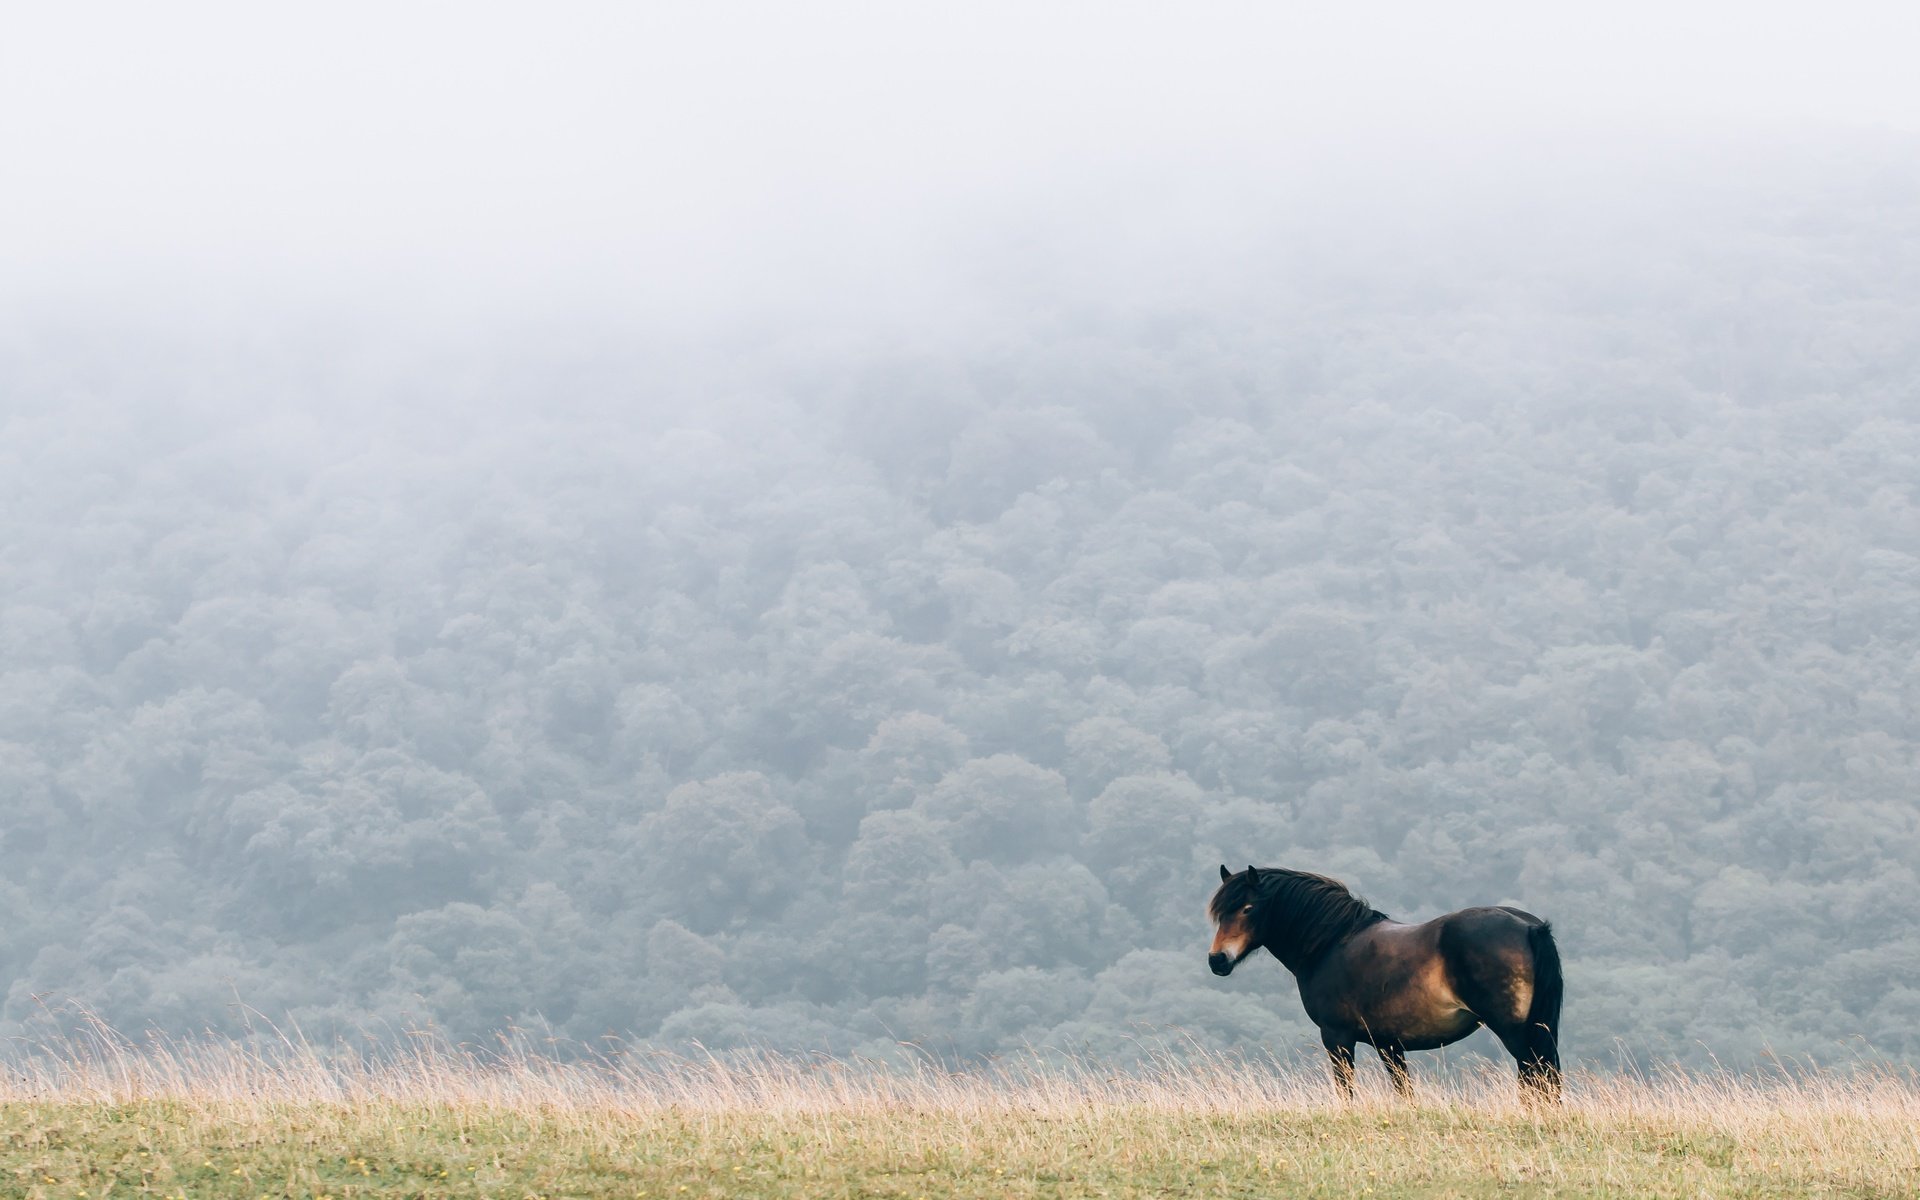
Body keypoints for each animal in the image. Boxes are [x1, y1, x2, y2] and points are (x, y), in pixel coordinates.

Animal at [1213, 860, 1559, 1098]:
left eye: (1247, 909)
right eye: (1219, 913)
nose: (1217, 960)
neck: (1331, 943)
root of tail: (1529, 927)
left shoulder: (1337, 1037)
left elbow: (1346, 1091)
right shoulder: (1389, 1045)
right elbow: (1404, 1091)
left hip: (1515, 1033)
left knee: (1535, 1075)